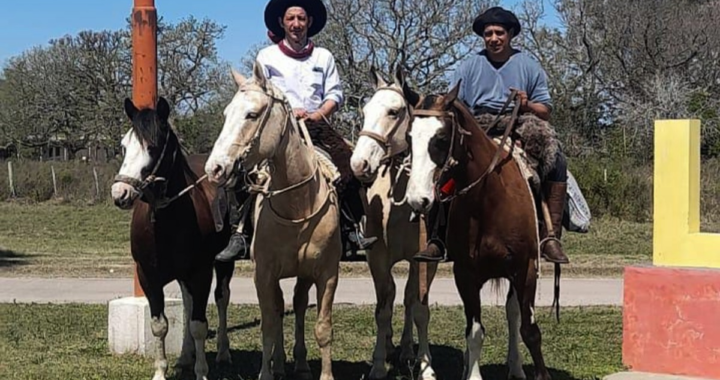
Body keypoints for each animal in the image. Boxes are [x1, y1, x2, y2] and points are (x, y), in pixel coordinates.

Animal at [110, 97, 233, 380]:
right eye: (124, 146)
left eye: (153, 147)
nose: (120, 193)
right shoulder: (148, 276)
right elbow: (159, 325)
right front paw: (161, 371)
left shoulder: (201, 273)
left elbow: (199, 325)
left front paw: (202, 372)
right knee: (188, 304)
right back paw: (185, 356)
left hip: (223, 264)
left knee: (222, 298)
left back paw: (223, 352)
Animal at [205, 63, 344, 380]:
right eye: (226, 113)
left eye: (252, 114)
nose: (215, 168)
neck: (297, 207)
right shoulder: (264, 274)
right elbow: (268, 326)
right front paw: (266, 371)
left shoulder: (326, 274)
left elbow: (322, 327)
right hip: (224, 263)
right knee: (224, 297)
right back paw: (227, 353)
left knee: (296, 304)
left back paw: (297, 363)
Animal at [348, 66, 438, 380]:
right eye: (364, 110)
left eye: (394, 111)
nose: (359, 164)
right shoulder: (377, 257)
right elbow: (383, 309)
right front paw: (377, 365)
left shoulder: (424, 260)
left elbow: (420, 308)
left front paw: (425, 365)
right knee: (388, 296)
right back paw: (389, 347)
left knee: (409, 299)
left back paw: (408, 350)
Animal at [404, 81, 552, 380]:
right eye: (409, 137)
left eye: (441, 138)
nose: (417, 199)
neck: (490, 201)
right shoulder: (466, 273)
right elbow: (474, 332)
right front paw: (471, 372)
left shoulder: (526, 268)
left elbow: (530, 330)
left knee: (513, 313)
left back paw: (516, 367)